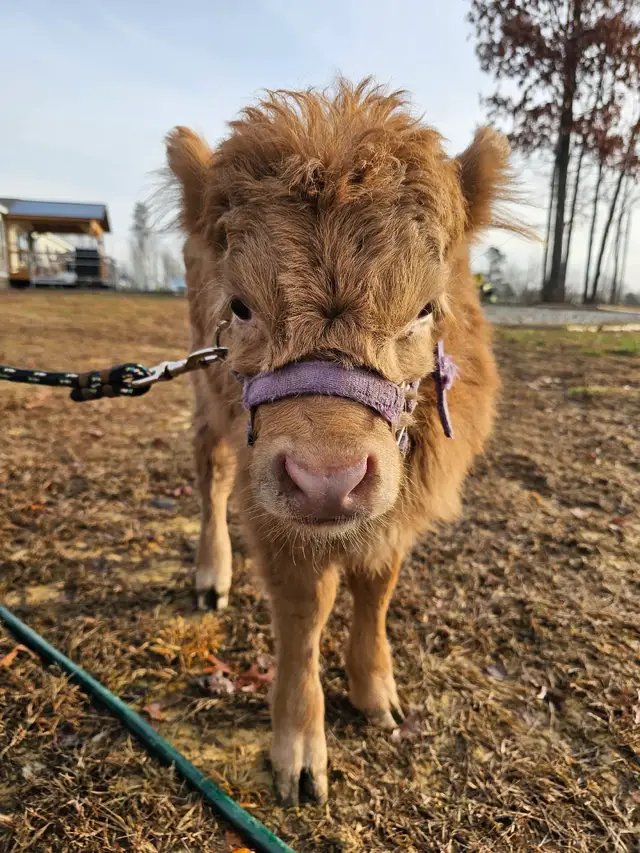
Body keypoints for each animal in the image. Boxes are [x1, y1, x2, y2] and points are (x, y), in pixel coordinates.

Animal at [166, 78, 511, 805]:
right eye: (240, 306)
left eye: (424, 308)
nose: (328, 478)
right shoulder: (276, 516)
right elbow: (305, 615)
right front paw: (299, 747)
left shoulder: (400, 505)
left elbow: (376, 586)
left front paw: (375, 689)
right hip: (207, 405)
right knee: (211, 476)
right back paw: (212, 572)